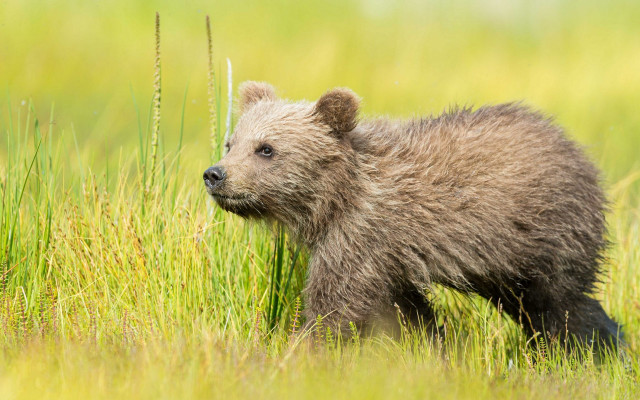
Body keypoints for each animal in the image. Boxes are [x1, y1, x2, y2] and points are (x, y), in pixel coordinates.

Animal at [203, 81, 622, 349]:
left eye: (266, 149)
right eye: (230, 142)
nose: (215, 175)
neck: (332, 200)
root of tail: (579, 151)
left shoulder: (361, 236)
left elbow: (334, 306)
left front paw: (298, 349)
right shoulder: (387, 261)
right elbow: (407, 313)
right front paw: (434, 347)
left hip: (545, 236)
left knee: (561, 306)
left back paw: (593, 349)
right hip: (506, 266)